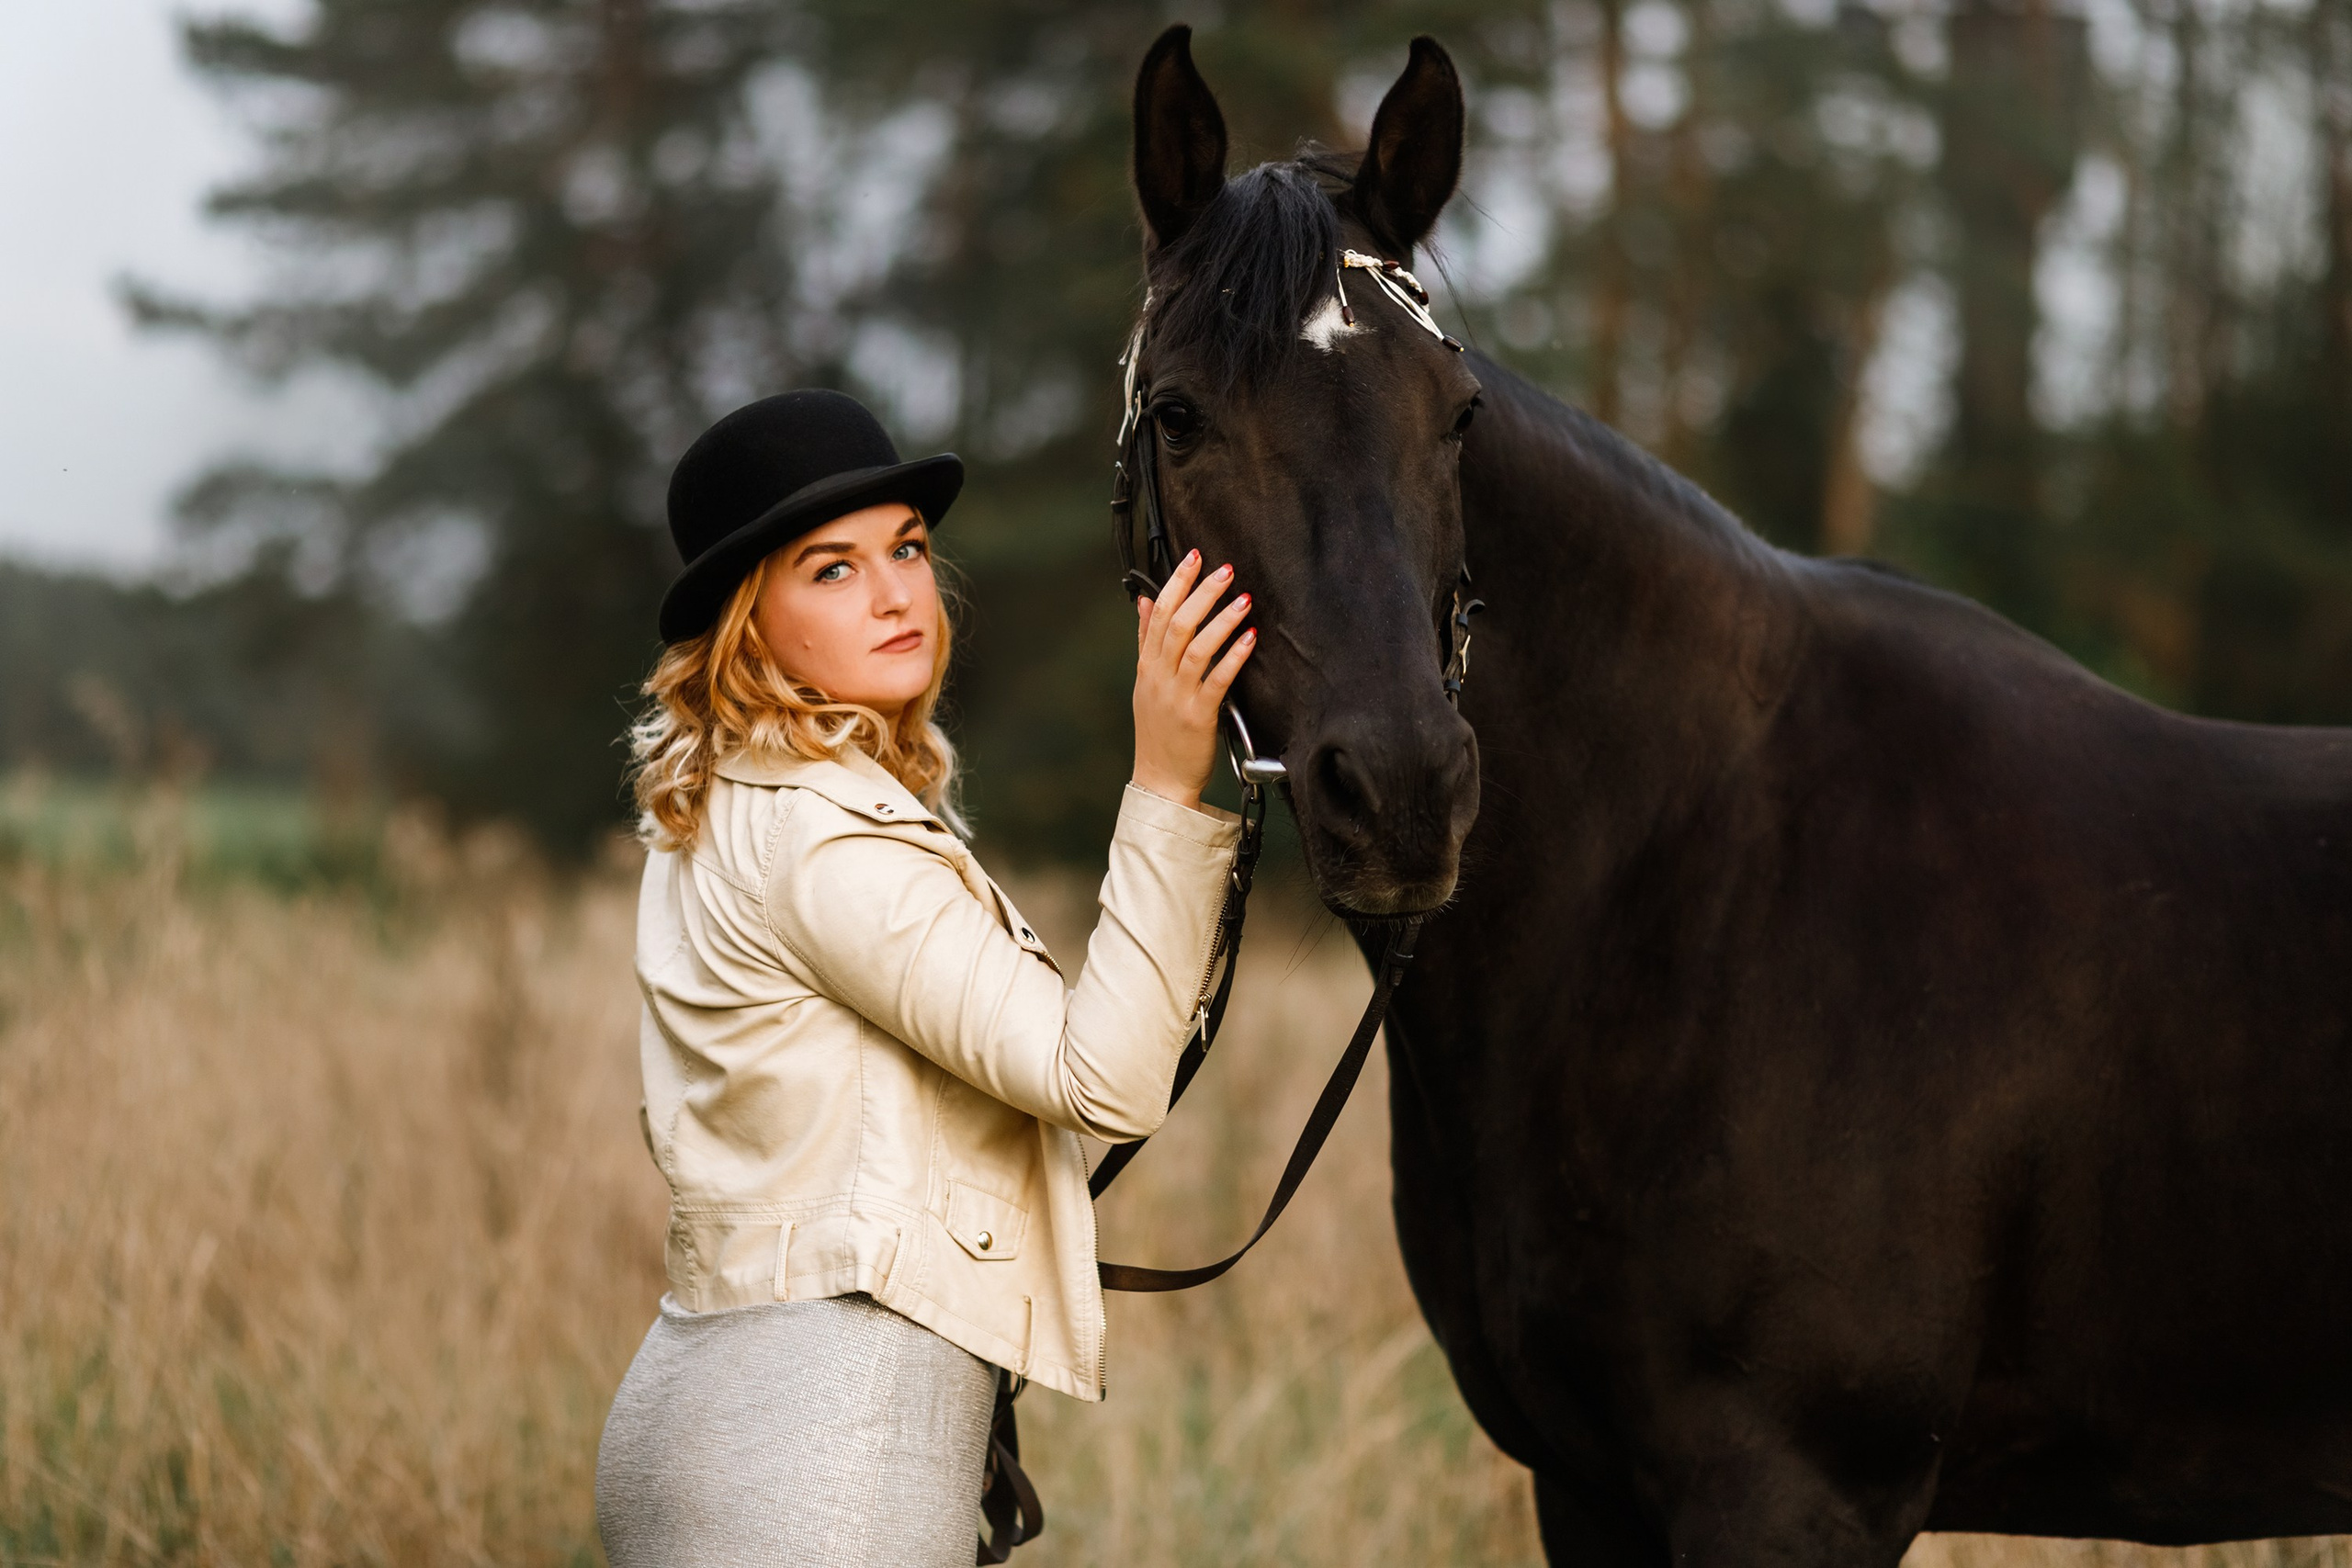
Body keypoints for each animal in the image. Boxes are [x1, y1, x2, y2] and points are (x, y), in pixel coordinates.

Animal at [1122, 24, 2352, 1566]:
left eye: (1457, 416)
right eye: (1178, 416)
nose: (1404, 787)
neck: (1699, 872)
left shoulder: (1792, 1487)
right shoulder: (1587, 1486)